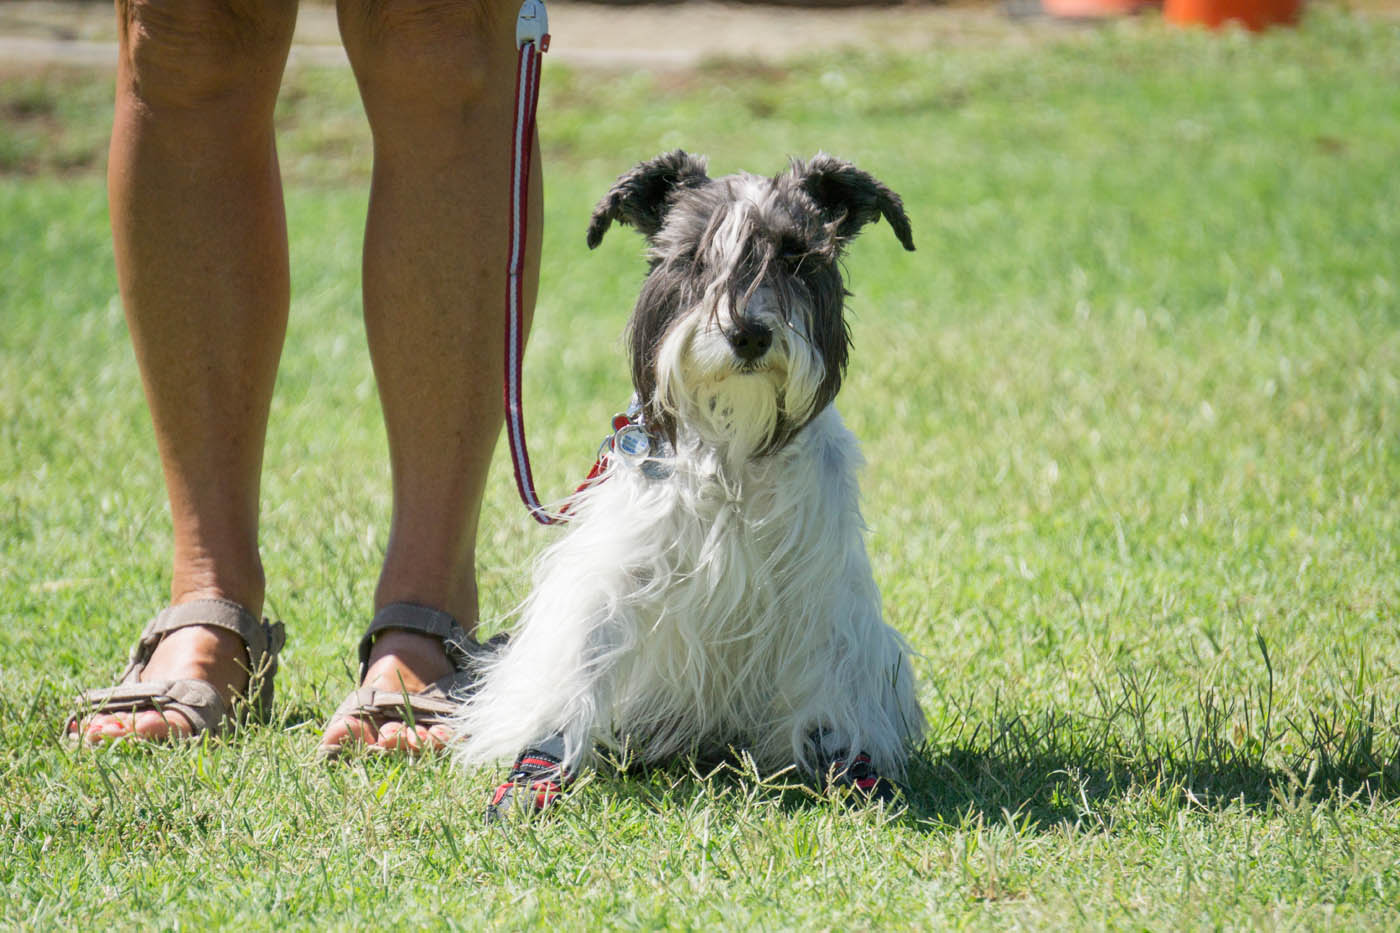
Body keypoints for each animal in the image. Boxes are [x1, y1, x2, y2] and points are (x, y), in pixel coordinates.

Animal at [453, 149, 924, 812]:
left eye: (796, 255)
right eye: (695, 256)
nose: (747, 334)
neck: (732, 450)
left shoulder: (821, 587)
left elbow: (830, 680)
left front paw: (848, 765)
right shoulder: (617, 573)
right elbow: (580, 659)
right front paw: (537, 769)